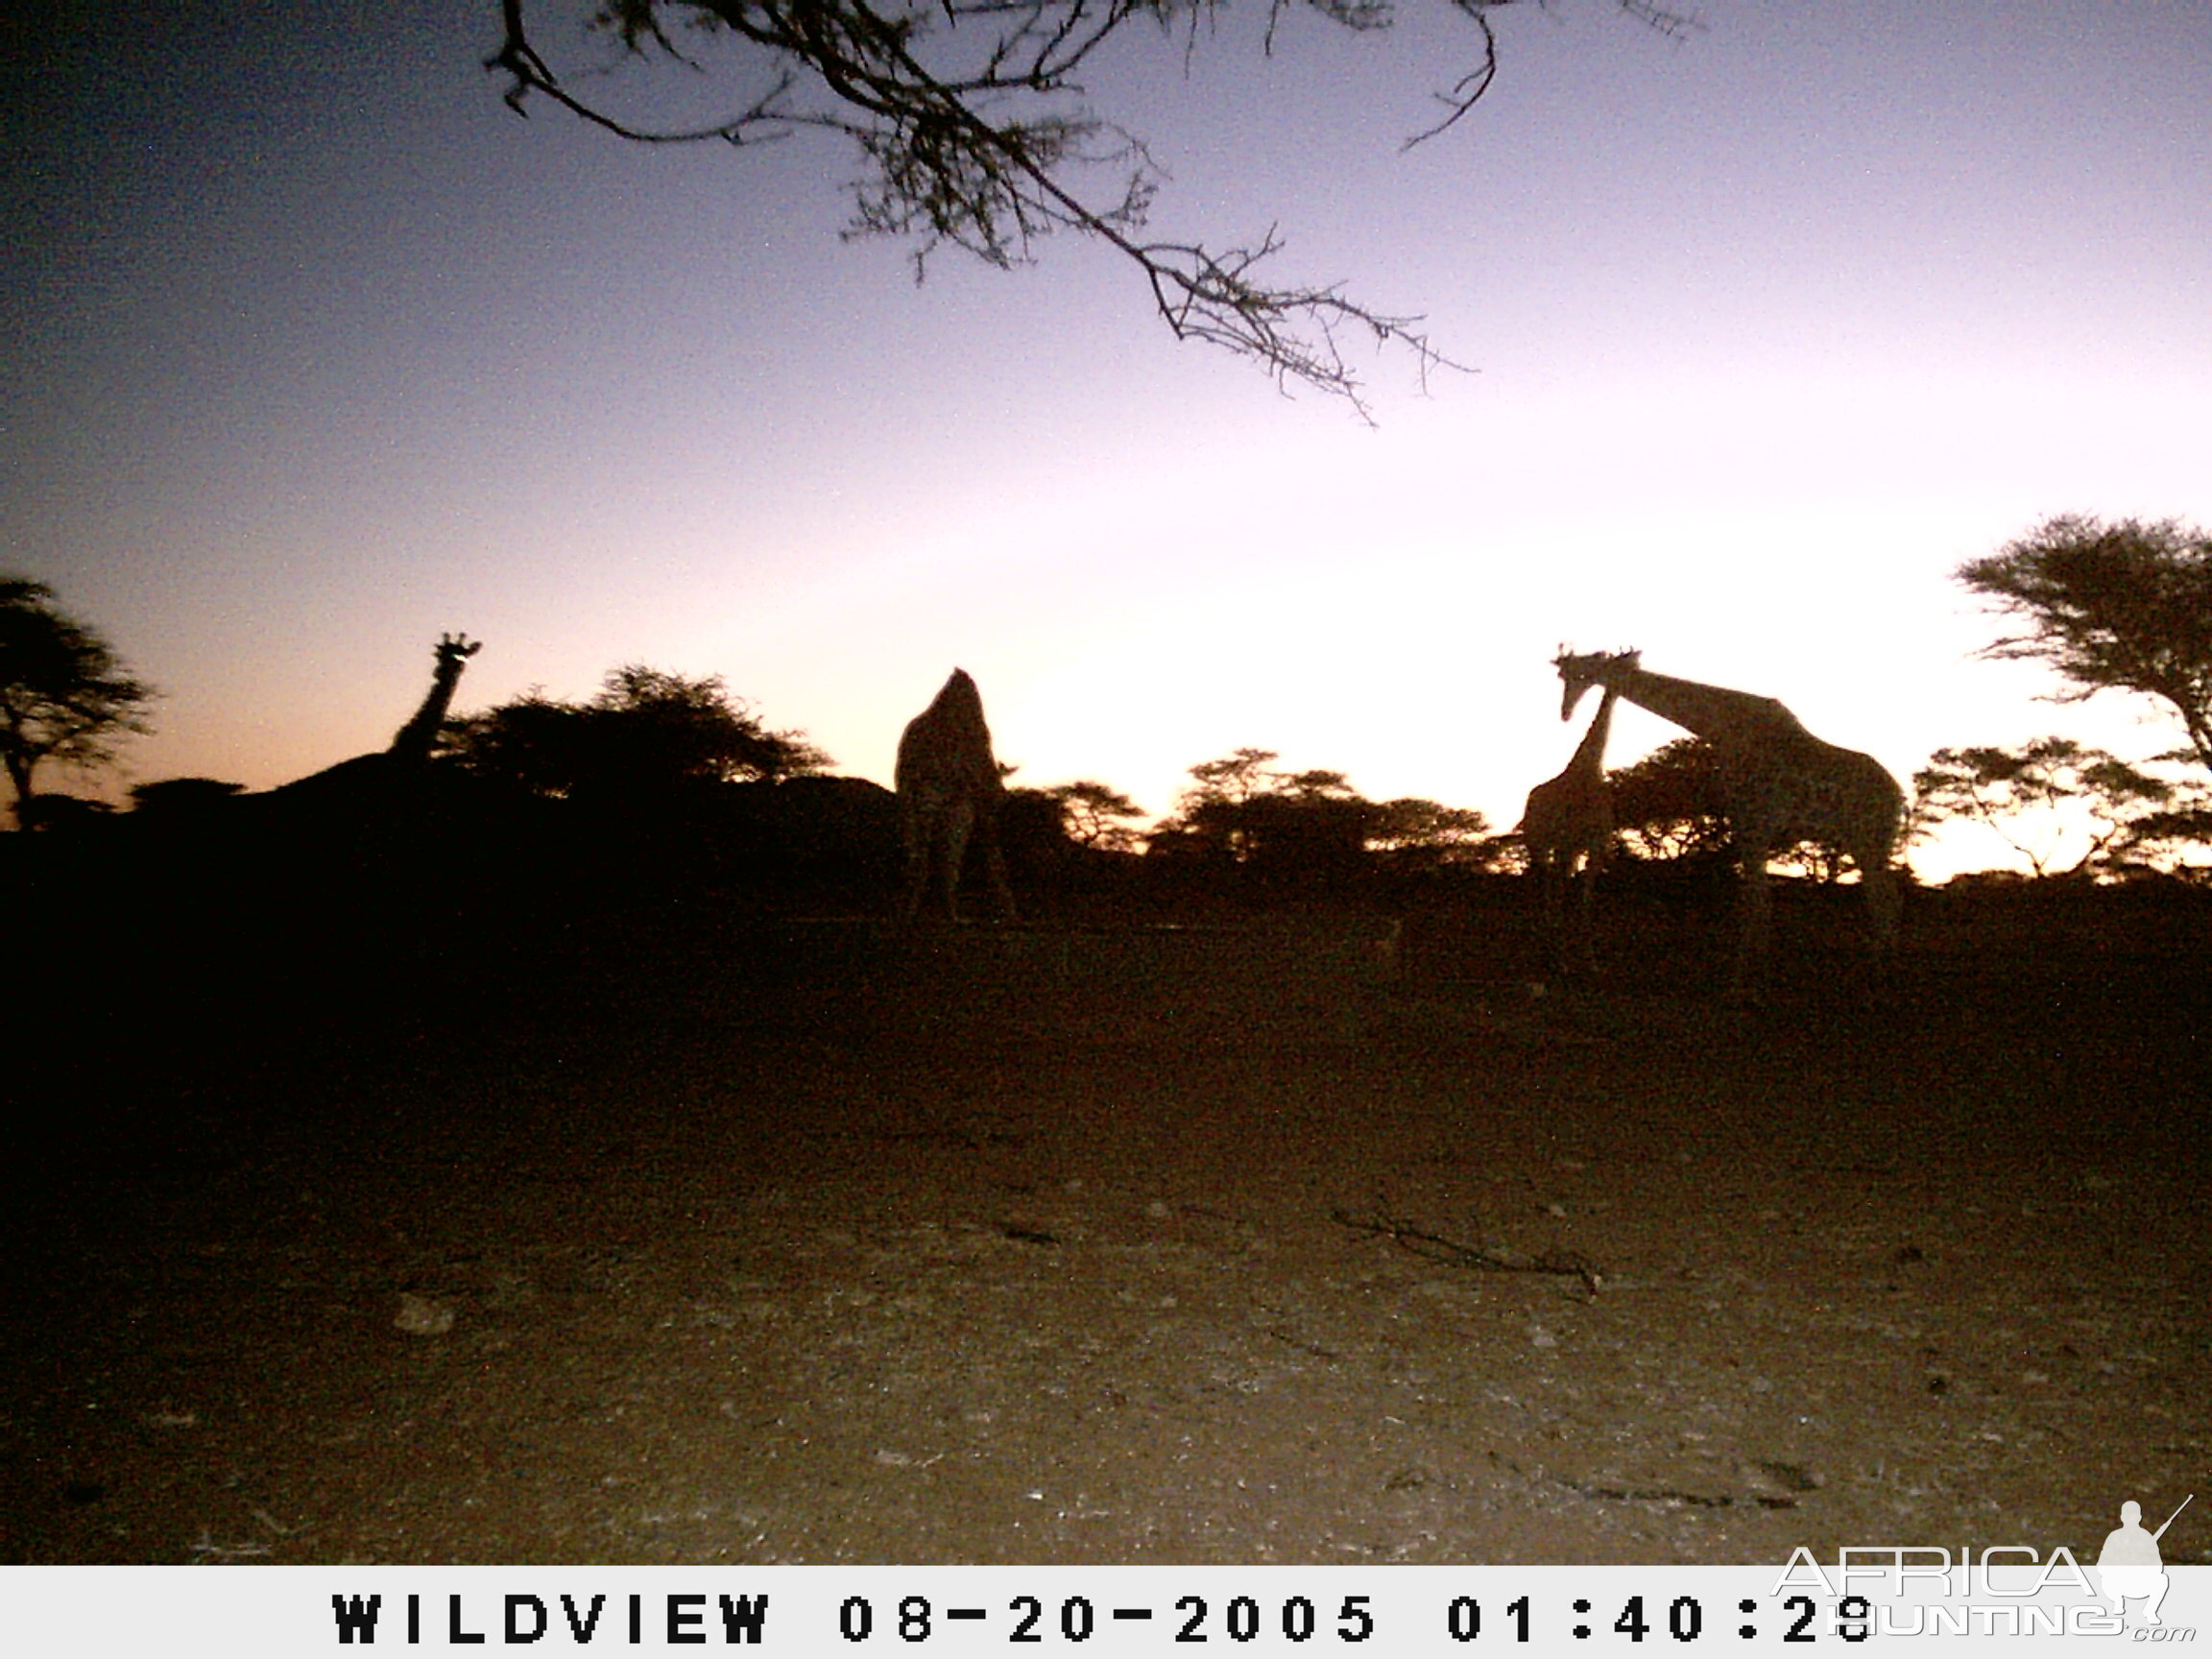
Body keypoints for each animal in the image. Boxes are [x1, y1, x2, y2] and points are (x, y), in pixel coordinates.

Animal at [893, 667, 1013, 928]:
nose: (1001, 796)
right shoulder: (980, 800)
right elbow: (992, 857)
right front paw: (1008, 912)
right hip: (948, 807)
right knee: (945, 856)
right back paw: (951, 915)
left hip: (915, 807)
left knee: (918, 855)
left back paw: (912, 913)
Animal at [1522, 685, 1627, 981]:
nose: (1566, 713)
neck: (1588, 770)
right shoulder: (1565, 842)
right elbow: (1561, 895)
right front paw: (1561, 961)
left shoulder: (1595, 846)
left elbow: (1585, 902)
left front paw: (1590, 961)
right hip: (1539, 845)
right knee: (1545, 884)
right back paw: (1544, 941)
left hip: (1565, 851)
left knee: (1555, 885)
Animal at [1557, 654, 1902, 999]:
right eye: (1565, 674)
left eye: (1581, 673)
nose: (1566, 711)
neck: (1722, 727)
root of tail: (1898, 798)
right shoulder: (1752, 826)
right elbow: (1760, 901)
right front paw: (1756, 981)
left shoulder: (1753, 822)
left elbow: (1755, 903)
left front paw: (1740, 987)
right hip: (1871, 846)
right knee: (1884, 904)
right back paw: (1881, 979)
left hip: (1869, 842)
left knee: (1883, 906)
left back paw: (1879, 984)